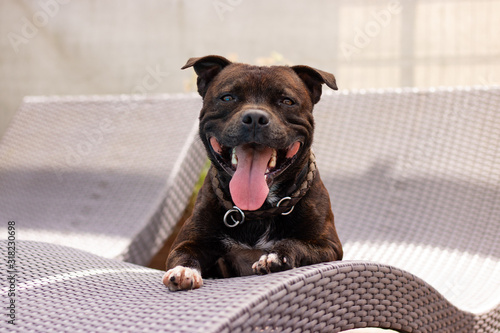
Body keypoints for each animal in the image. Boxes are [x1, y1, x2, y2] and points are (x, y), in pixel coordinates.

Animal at [162, 55, 342, 290]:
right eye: (227, 98)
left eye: (287, 101)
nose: (255, 117)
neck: (258, 212)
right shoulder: (188, 241)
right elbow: (184, 254)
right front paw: (184, 270)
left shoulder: (329, 246)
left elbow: (296, 243)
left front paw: (275, 256)